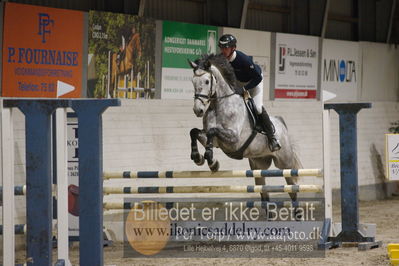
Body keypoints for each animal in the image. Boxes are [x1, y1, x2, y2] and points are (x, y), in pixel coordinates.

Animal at [188, 54, 304, 202]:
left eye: (207, 81)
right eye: (193, 81)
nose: (198, 110)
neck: (218, 106)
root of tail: (280, 122)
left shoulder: (234, 140)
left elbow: (212, 131)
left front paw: (211, 161)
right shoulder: (216, 141)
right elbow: (195, 132)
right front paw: (199, 158)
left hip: (285, 163)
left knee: (292, 189)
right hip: (258, 165)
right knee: (264, 192)